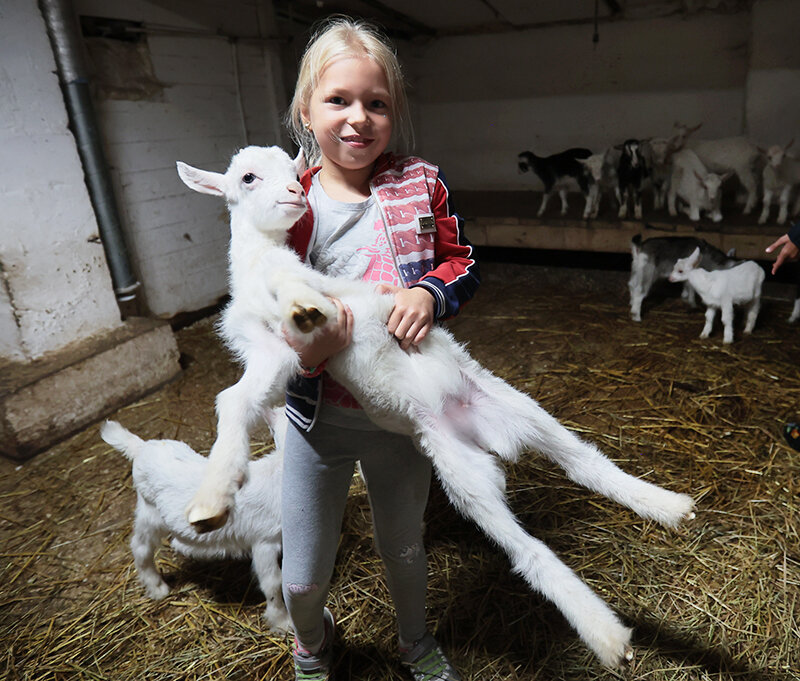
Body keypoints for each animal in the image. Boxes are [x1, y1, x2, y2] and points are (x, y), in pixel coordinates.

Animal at [99, 414, 291, 632]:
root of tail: (141, 448)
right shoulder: (263, 541)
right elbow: (273, 582)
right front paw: (281, 622)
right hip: (149, 511)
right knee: (140, 546)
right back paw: (157, 588)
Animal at [176, 144, 696, 668]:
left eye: (293, 170)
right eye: (248, 177)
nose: (293, 193)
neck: (257, 268)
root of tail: (474, 429)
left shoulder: (302, 310)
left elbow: (294, 308)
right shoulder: (273, 352)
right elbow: (234, 398)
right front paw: (213, 498)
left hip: (514, 409)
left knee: (570, 485)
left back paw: (618, 618)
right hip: (465, 469)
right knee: (559, 496)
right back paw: (664, 522)